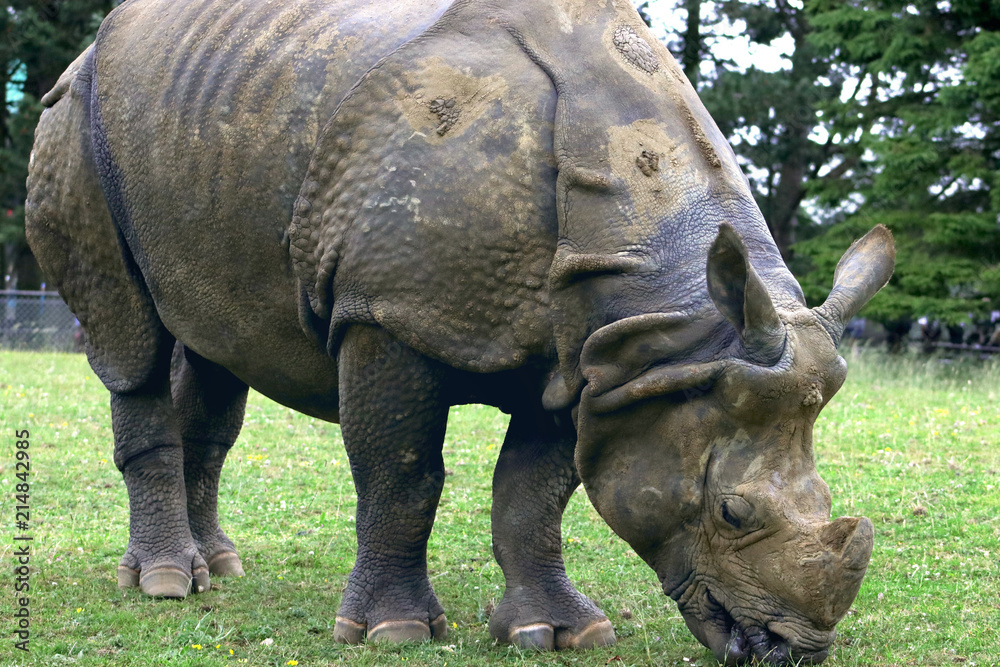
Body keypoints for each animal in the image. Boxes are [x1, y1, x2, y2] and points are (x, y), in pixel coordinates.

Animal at [25, 0, 895, 663]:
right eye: (732, 514)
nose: (796, 649)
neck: (671, 319)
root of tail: (98, 42)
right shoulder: (387, 312)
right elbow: (403, 474)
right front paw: (394, 632)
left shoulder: (601, 358)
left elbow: (533, 493)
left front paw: (558, 633)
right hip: (75, 120)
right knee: (132, 343)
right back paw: (166, 584)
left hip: (212, 111)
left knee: (212, 352)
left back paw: (221, 566)